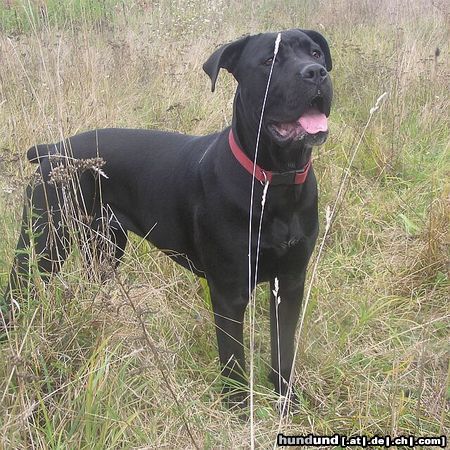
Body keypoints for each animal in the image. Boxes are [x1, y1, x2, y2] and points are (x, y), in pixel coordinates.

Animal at [3, 28, 332, 408]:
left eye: (315, 53)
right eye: (269, 60)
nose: (316, 73)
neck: (274, 181)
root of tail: (52, 149)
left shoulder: (290, 283)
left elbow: (284, 350)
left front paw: (286, 402)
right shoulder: (229, 290)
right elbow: (232, 358)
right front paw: (237, 406)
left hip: (104, 245)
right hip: (43, 245)